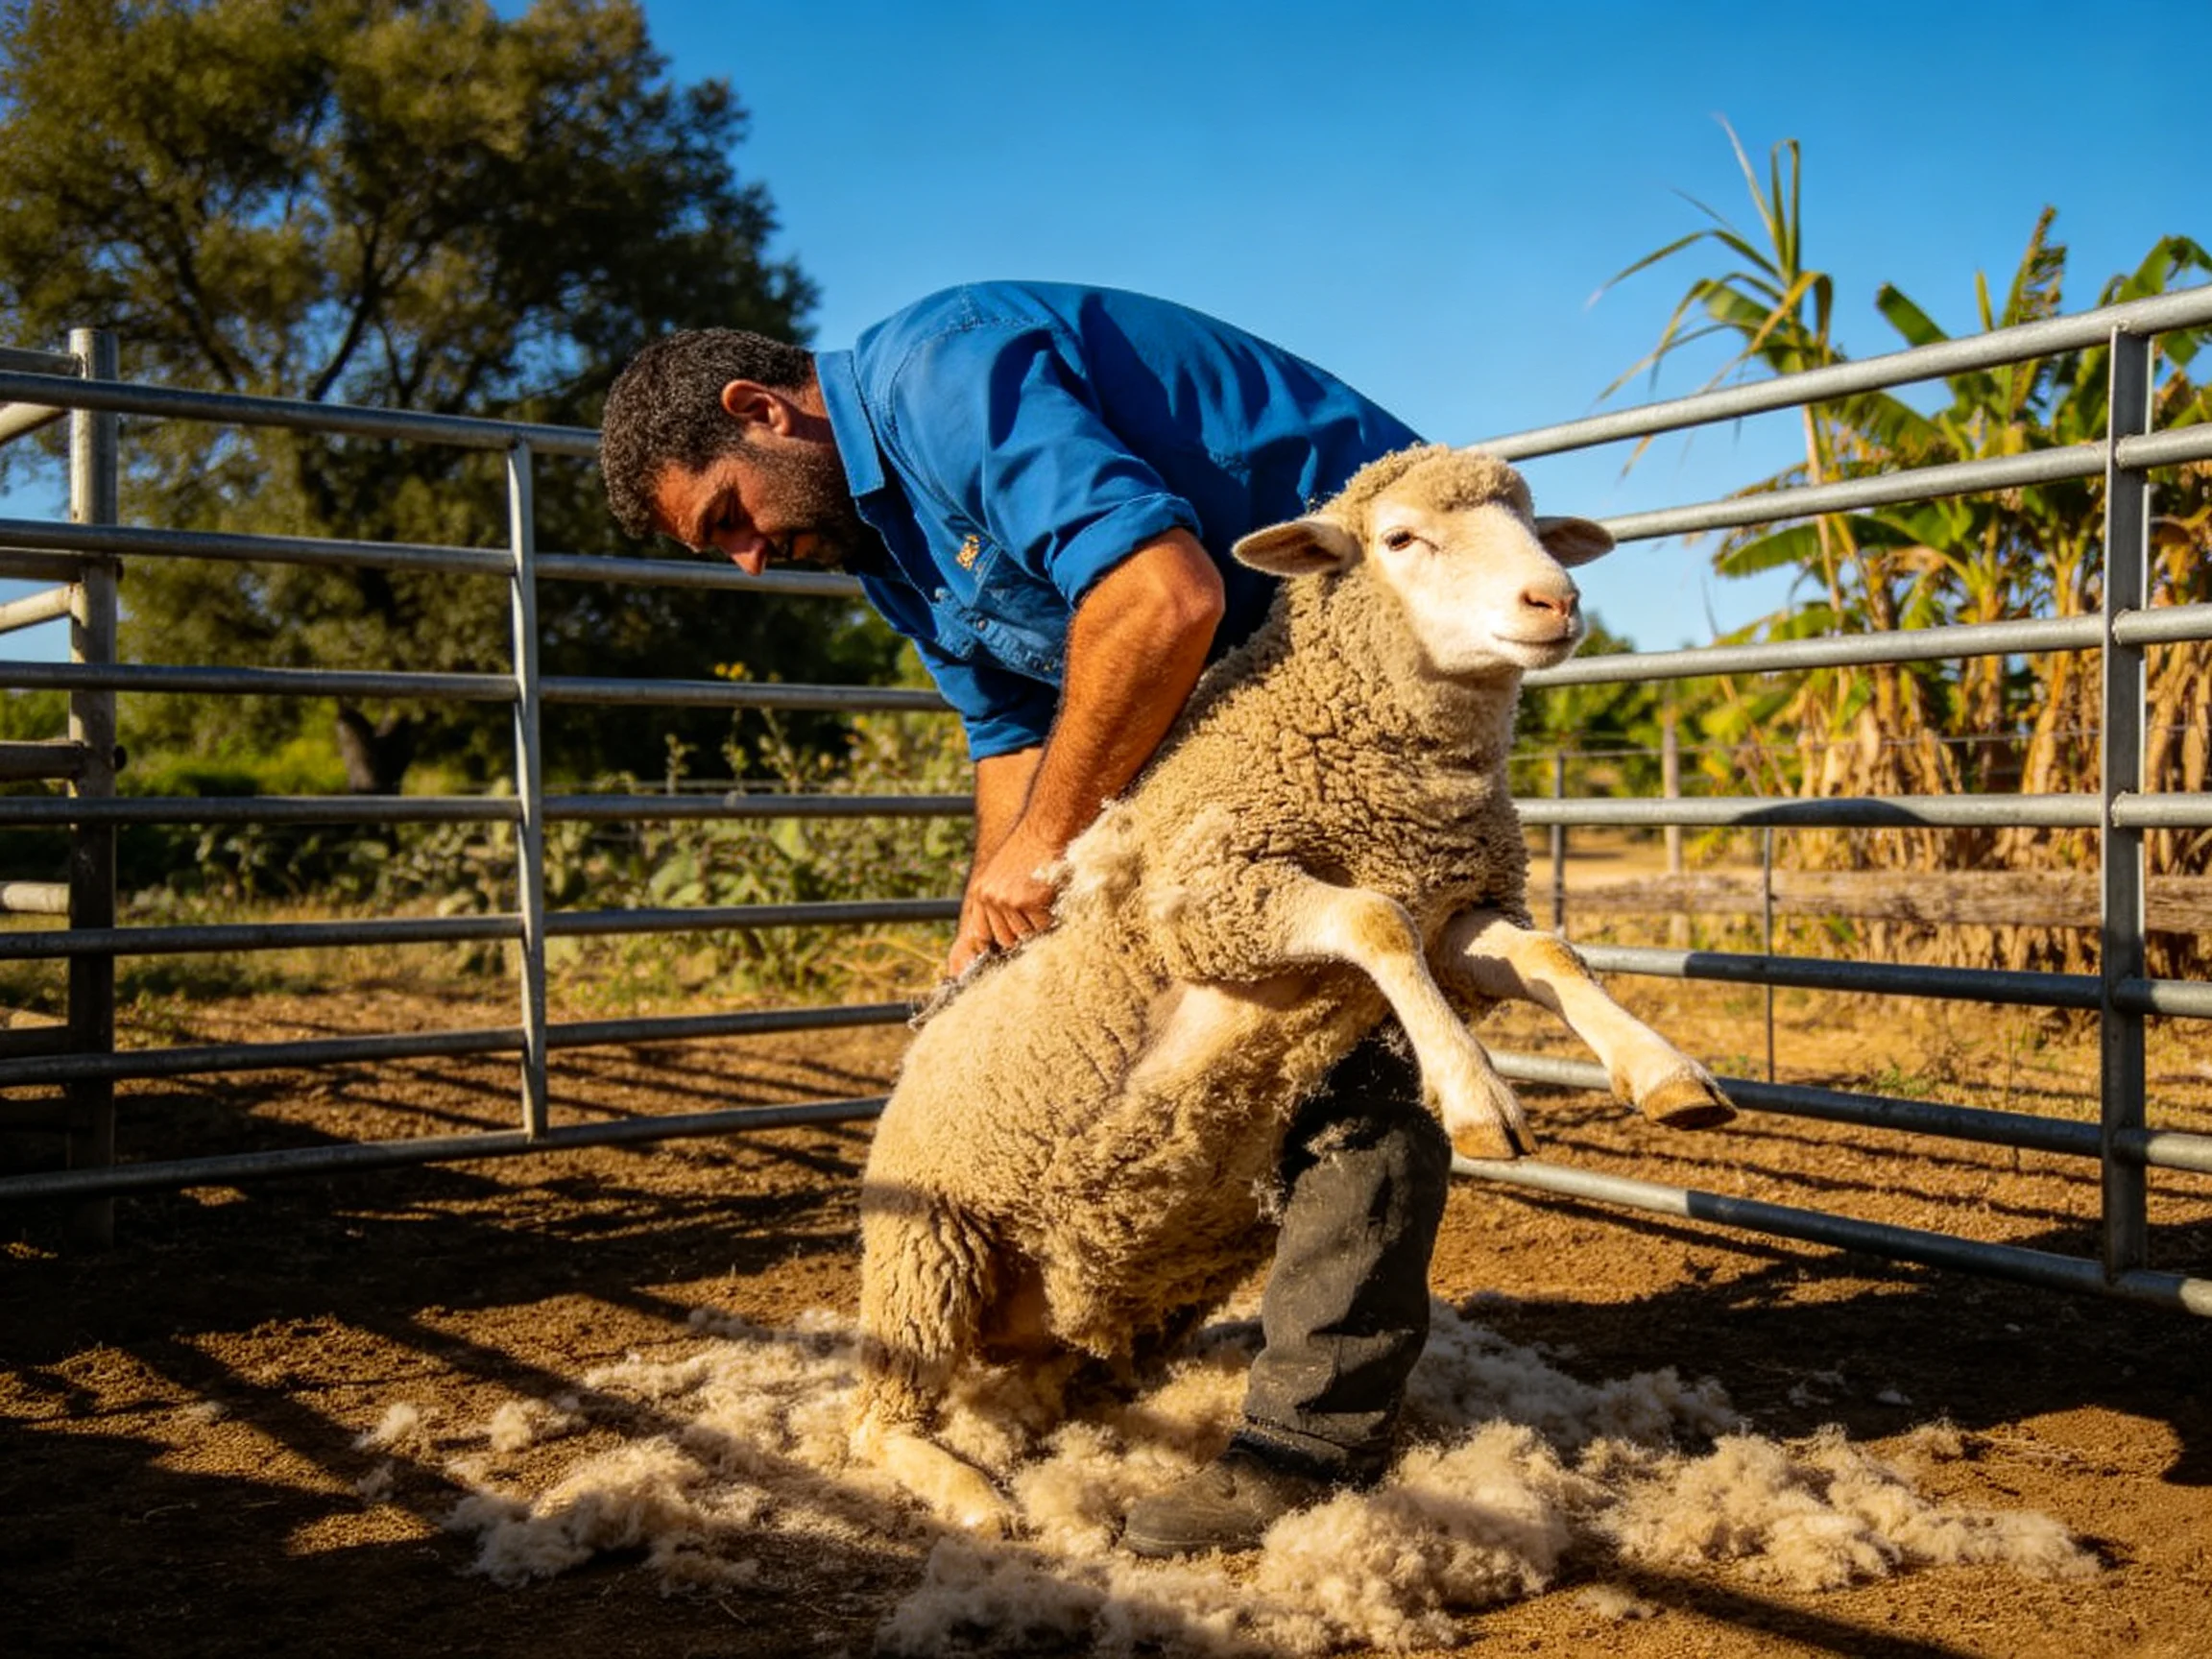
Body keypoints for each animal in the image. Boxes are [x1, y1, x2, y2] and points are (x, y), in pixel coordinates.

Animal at [850, 444, 1733, 1533]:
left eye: (1533, 524)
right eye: (1401, 538)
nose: (1556, 600)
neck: (1391, 794)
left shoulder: (1458, 912)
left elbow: (1549, 957)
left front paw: (1665, 1073)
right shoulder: (1212, 901)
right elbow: (1374, 922)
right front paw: (1476, 1094)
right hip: (924, 1250)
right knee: (875, 1419)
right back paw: (971, 1491)